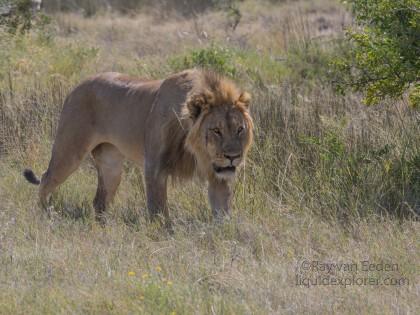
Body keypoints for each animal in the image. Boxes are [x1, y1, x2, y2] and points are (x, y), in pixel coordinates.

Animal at [23, 70, 253, 226]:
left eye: (239, 129)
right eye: (216, 130)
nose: (233, 156)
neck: (197, 151)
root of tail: (77, 86)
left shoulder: (217, 175)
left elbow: (222, 209)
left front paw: (224, 232)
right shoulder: (154, 166)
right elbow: (158, 207)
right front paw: (163, 231)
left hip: (111, 167)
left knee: (99, 201)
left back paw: (105, 227)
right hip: (69, 151)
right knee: (46, 179)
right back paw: (46, 215)